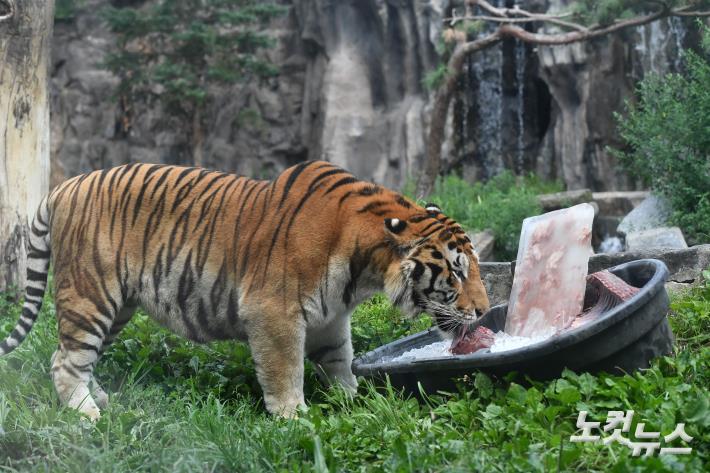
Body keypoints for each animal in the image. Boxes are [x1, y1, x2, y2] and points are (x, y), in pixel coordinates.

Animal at [0, 161, 490, 416]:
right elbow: (285, 370)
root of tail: (64, 186)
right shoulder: (274, 313)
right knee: (65, 359)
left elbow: (339, 361)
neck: (363, 269)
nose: (485, 311)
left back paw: (99, 397)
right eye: (456, 272)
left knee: (76, 356)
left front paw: (352, 401)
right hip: (91, 295)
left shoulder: (331, 317)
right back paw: (88, 415)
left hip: (118, 307)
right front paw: (295, 418)